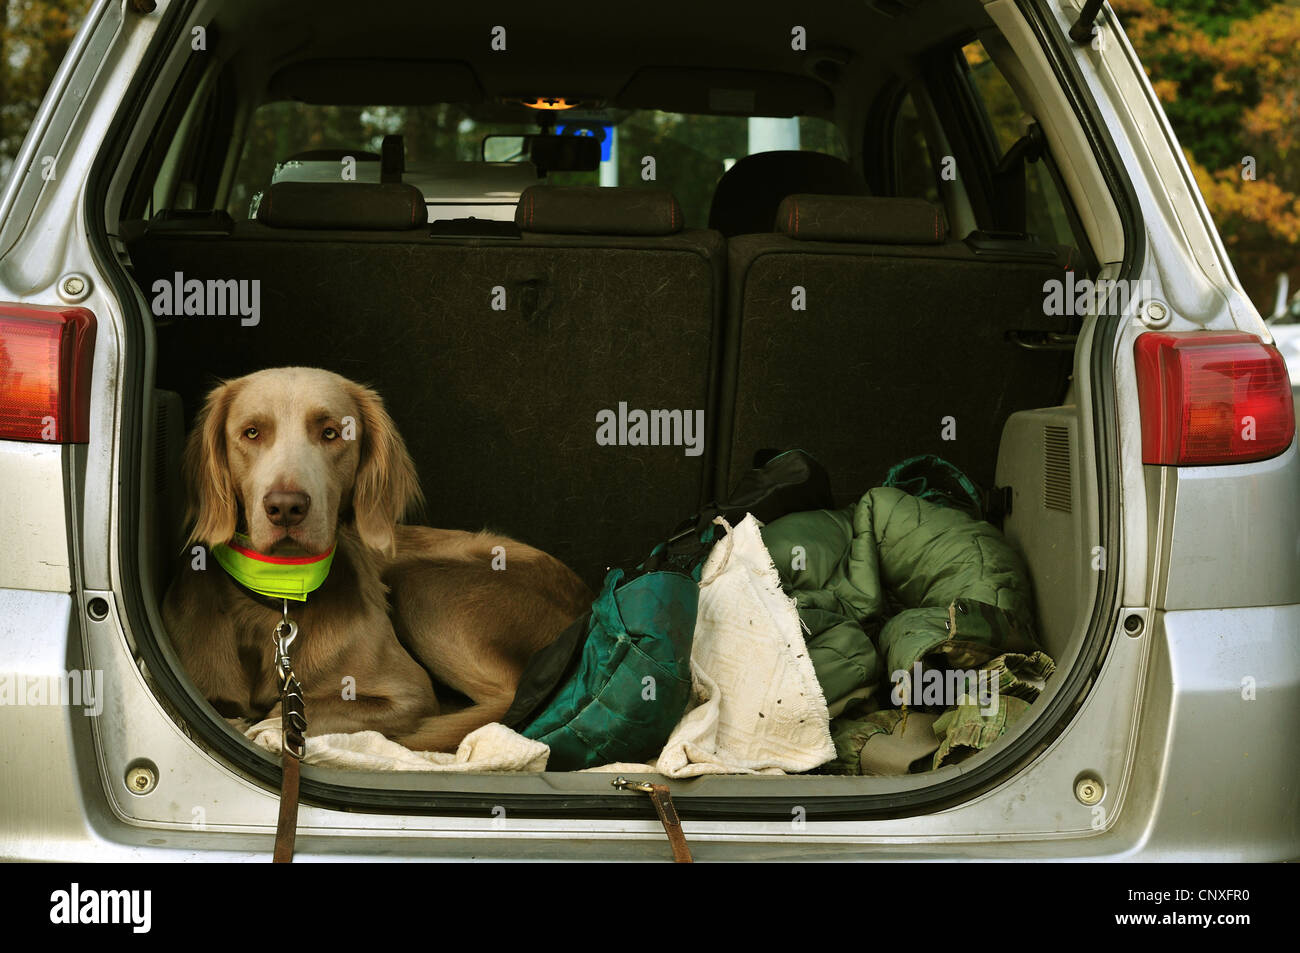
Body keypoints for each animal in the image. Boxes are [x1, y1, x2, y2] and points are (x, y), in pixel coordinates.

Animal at [159, 369, 592, 748]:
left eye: (331, 433)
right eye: (251, 432)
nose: (285, 507)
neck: (277, 596)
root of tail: (584, 600)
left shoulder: (408, 695)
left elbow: (303, 711)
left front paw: (263, 724)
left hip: (424, 585)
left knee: (501, 701)